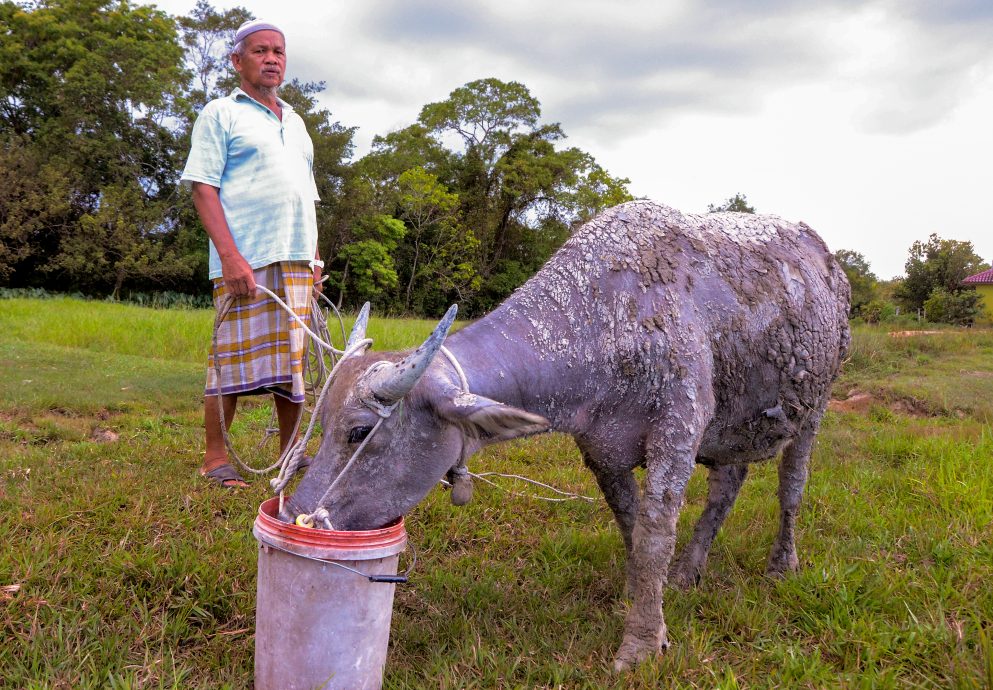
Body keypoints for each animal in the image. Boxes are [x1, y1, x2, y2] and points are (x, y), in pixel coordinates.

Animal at [282, 198, 848, 668]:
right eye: (324, 424)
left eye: (359, 432)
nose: (294, 513)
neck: (610, 315)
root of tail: (829, 261)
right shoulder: (603, 451)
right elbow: (631, 524)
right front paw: (644, 599)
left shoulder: (678, 432)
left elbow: (654, 536)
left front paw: (643, 642)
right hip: (734, 427)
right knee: (726, 489)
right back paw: (689, 572)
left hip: (813, 411)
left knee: (791, 489)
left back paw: (782, 564)